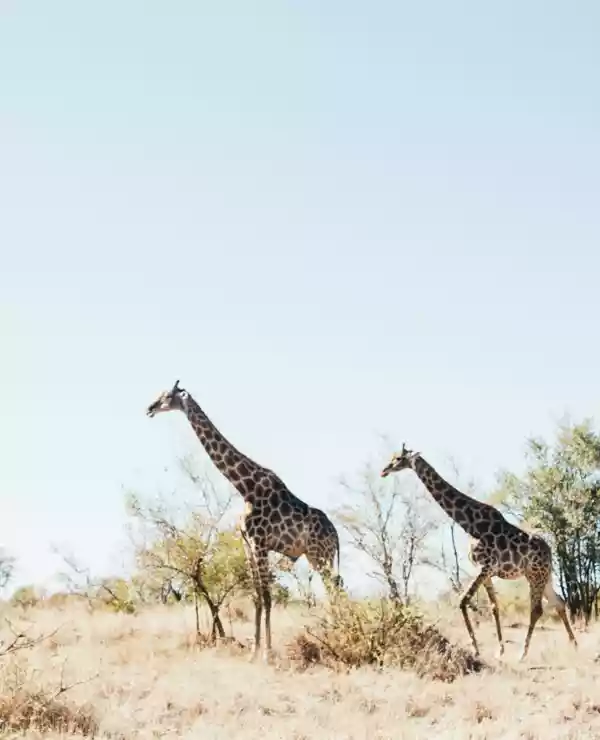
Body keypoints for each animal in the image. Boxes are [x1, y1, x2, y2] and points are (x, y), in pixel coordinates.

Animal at [146, 382, 342, 660]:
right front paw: (253, 651)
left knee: (334, 588)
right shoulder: (248, 543)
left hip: (319, 554)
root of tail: (336, 534)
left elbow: (268, 596)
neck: (245, 487)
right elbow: (256, 597)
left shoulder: (260, 543)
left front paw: (267, 653)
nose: (149, 408)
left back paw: (337, 633)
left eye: (167, 396)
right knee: (335, 586)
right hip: (319, 556)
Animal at [380, 442, 576, 660]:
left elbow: (463, 601)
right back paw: (573, 645)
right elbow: (493, 607)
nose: (384, 470)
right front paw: (499, 650)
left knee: (537, 609)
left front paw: (476, 649)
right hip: (543, 576)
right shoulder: (486, 571)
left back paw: (522, 654)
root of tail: (549, 551)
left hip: (535, 575)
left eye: (398, 458)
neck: (471, 524)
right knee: (559, 602)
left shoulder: (487, 566)